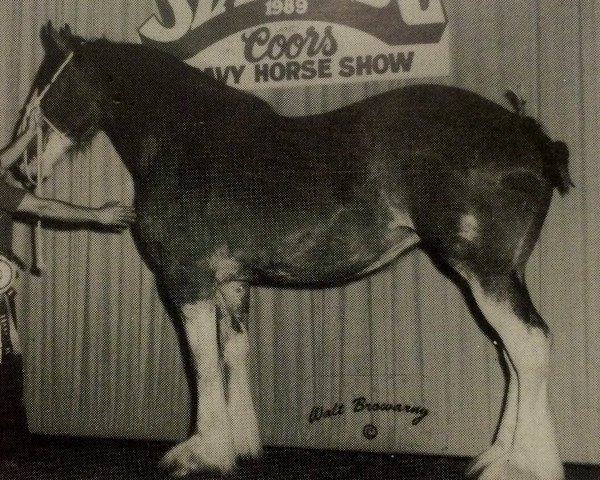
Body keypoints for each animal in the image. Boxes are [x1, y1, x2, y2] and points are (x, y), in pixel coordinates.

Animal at [18, 21, 572, 480]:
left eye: (48, 87)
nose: (22, 169)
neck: (184, 138)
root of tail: (525, 131)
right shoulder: (232, 283)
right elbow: (232, 353)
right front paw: (238, 446)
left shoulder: (186, 278)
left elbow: (201, 361)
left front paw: (200, 452)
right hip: (499, 275)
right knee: (512, 352)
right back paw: (497, 456)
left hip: (485, 271)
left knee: (529, 344)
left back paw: (522, 465)